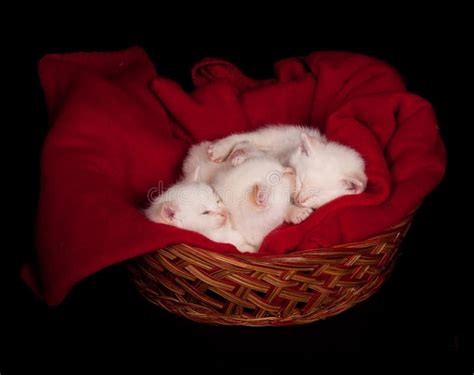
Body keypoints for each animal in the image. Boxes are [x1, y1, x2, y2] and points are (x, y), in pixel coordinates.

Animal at [207, 125, 366, 210]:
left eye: (316, 194)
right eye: (300, 181)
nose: (299, 200)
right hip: (278, 135)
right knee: (247, 137)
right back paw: (219, 149)